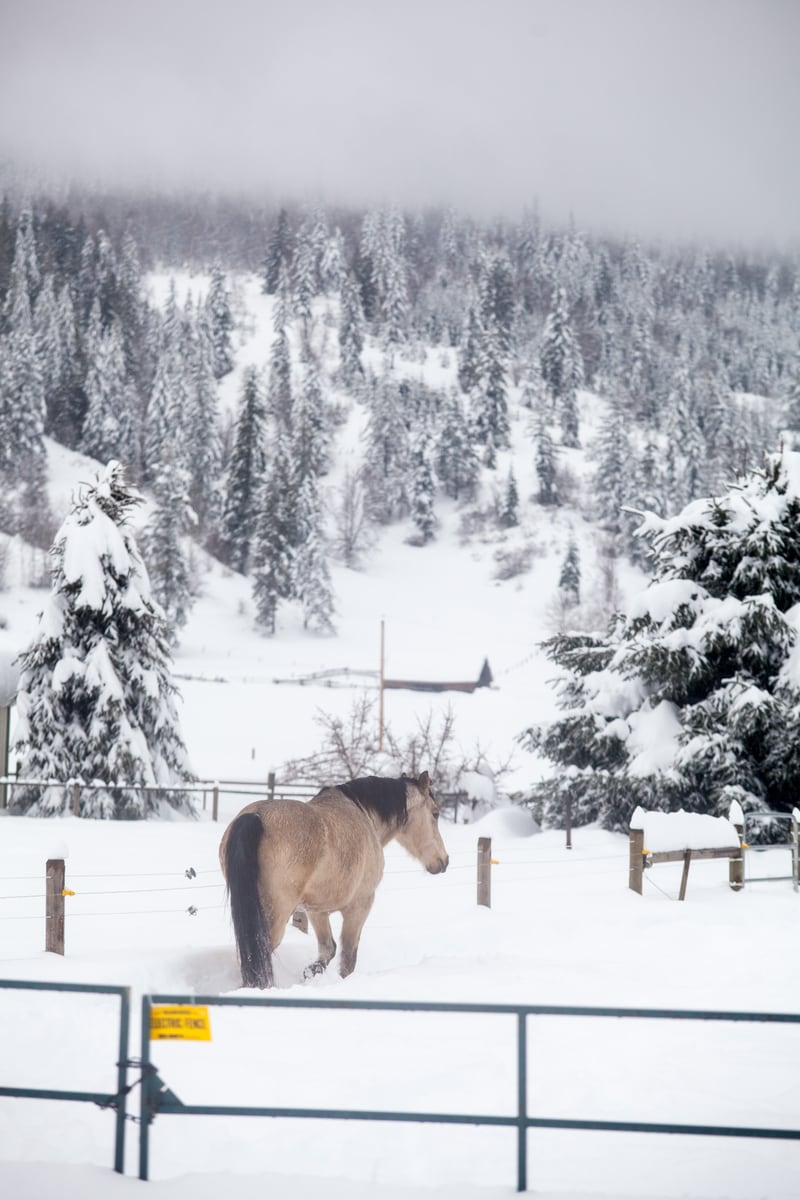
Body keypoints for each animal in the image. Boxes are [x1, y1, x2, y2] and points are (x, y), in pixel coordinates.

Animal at [220, 771, 449, 989]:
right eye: (435, 814)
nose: (444, 861)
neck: (363, 813)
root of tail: (255, 816)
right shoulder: (360, 906)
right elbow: (348, 958)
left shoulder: (317, 910)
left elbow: (328, 948)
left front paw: (311, 972)